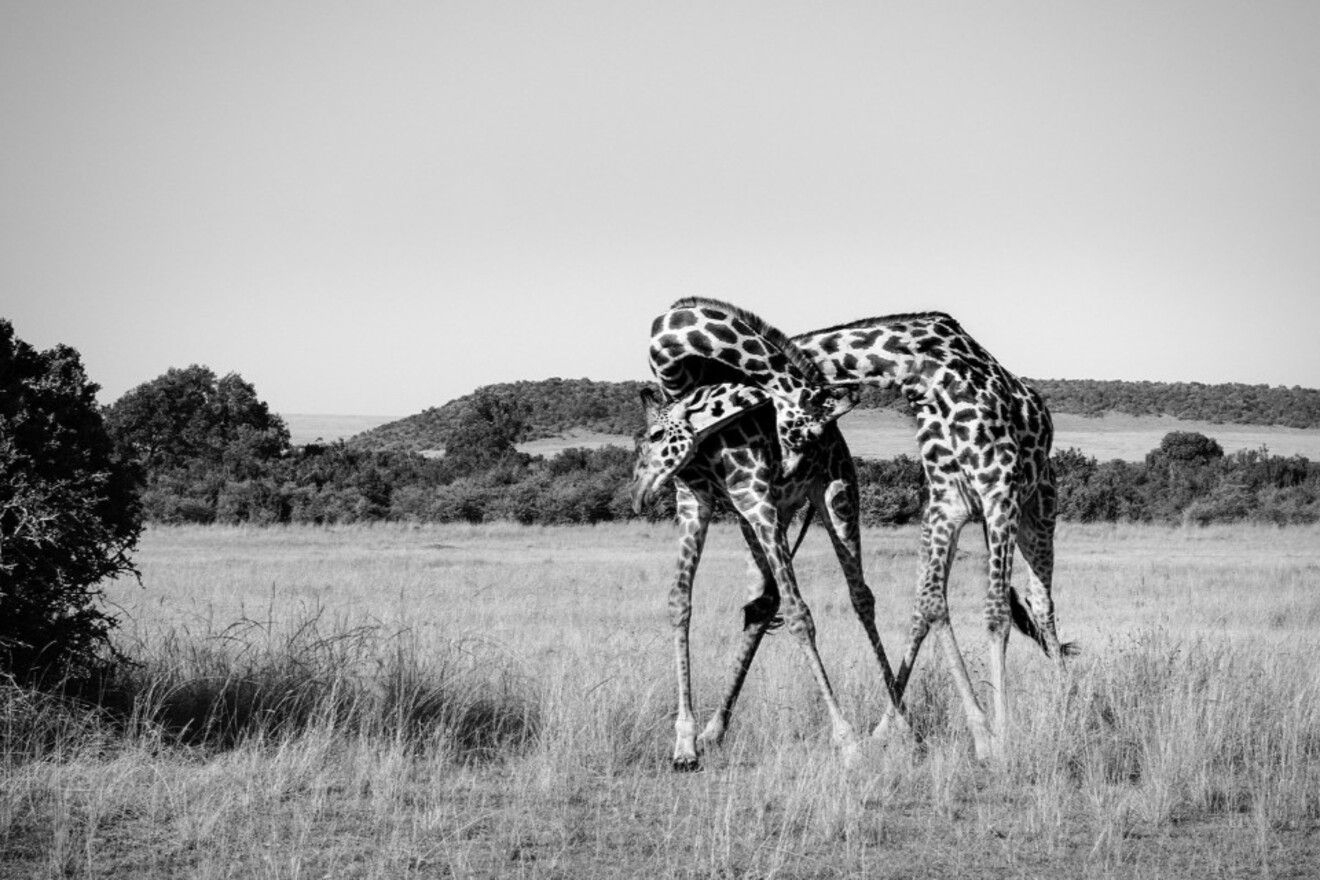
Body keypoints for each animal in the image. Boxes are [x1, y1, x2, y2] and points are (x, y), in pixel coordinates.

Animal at [630, 382, 902, 765]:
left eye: (656, 435)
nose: (638, 495)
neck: (707, 450)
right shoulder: (695, 502)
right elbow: (679, 602)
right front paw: (684, 743)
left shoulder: (758, 501)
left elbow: (799, 614)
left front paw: (846, 740)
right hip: (773, 513)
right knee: (771, 604)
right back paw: (712, 732)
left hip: (835, 492)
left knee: (856, 597)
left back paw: (897, 723)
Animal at [781, 312, 1071, 759]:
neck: (924, 372)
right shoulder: (945, 504)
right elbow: (932, 604)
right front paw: (982, 735)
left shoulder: (999, 494)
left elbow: (996, 614)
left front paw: (1002, 736)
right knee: (925, 607)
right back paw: (885, 727)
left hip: (1037, 513)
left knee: (1041, 603)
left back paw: (1066, 704)